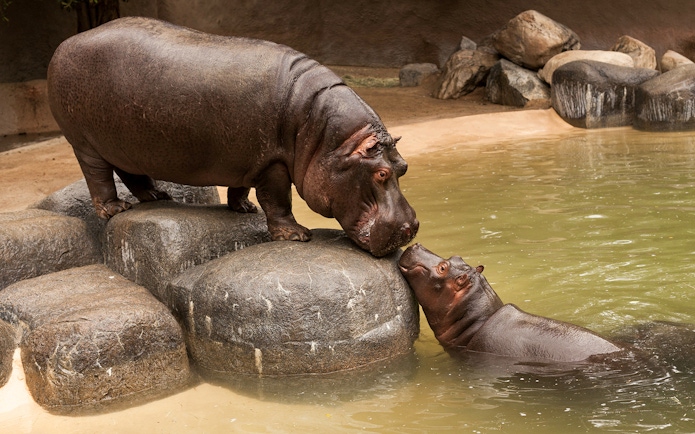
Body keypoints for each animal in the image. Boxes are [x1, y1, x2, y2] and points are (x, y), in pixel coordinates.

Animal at [47, 17, 418, 257]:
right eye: (380, 173)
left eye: (403, 167)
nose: (412, 228)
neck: (330, 139)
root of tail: (66, 43)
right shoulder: (272, 163)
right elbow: (278, 199)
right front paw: (297, 236)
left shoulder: (249, 161)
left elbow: (241, 187)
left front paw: (243, 209)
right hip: (85, 143)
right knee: (98, 176)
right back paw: (115, 208)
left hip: (124, 144)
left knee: (130, 172)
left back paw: (157, 196)